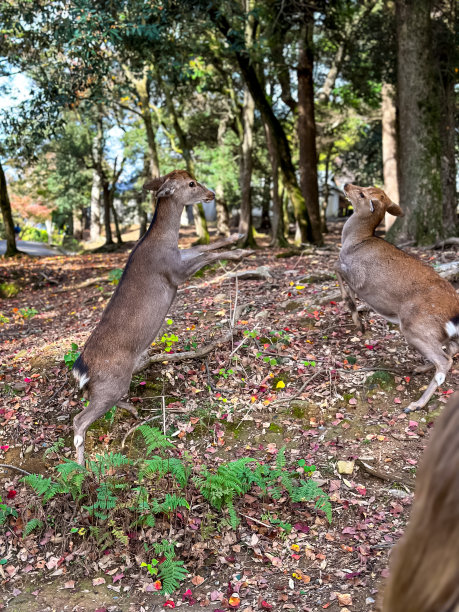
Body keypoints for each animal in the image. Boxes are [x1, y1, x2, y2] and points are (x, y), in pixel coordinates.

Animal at [72, 169, 253, 464]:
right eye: (191, 183)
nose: (211, 194)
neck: (164, 242)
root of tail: (81, 368)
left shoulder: (181, 254)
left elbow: (206, 245)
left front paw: (239, 236)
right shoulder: (175, 271)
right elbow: (208, 255)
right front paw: (242, 251)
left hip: (108, 385)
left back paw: (133, 411)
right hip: (110, 382)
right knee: (79, 421)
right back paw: (80, 467)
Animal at [334, 182, 459, 412]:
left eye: (362, 193)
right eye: (368, 186)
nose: (346, 184)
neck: (355, 241)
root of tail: (454, 312)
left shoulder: (357, 275)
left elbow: (335, 266)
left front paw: (358, 321)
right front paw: (359, 321)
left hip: (416, 326)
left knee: (444, 360)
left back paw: (415, 404)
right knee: (450, 350)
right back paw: (420, 368)